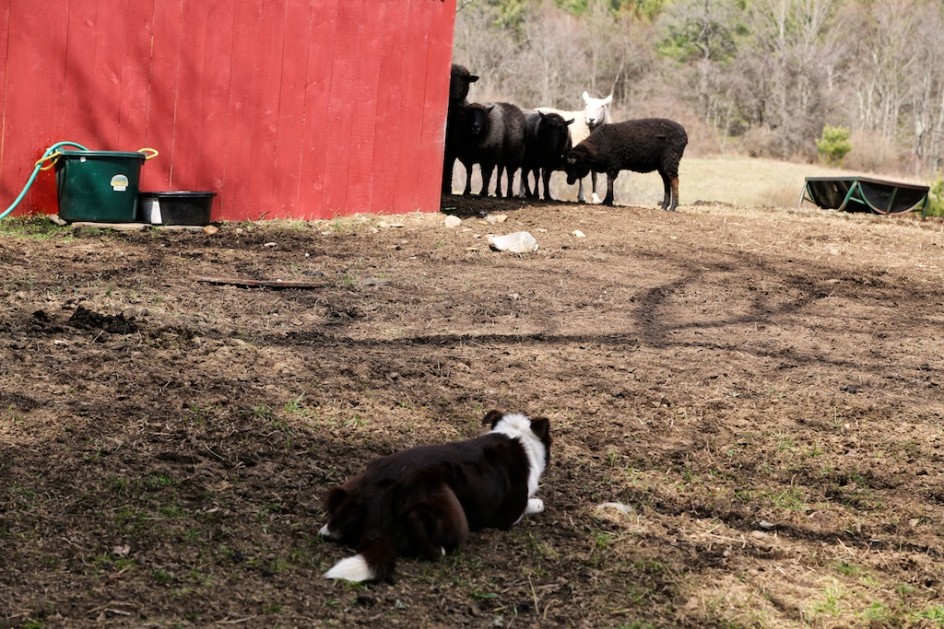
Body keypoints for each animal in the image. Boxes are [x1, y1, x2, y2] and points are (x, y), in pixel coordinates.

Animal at [318, 410, 548, 580]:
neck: (514, 436)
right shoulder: (510, 515)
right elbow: (530, 504)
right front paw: (537, 503)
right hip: (449, 504)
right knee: (419, 520)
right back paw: (438, 550)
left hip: (346, 488)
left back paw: (329, 529)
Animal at [442, 64, 480, 194]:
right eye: (451, 77)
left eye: (465, 79)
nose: (456, 92)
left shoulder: (452, 147)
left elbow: (449, 165)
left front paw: (447, 188)